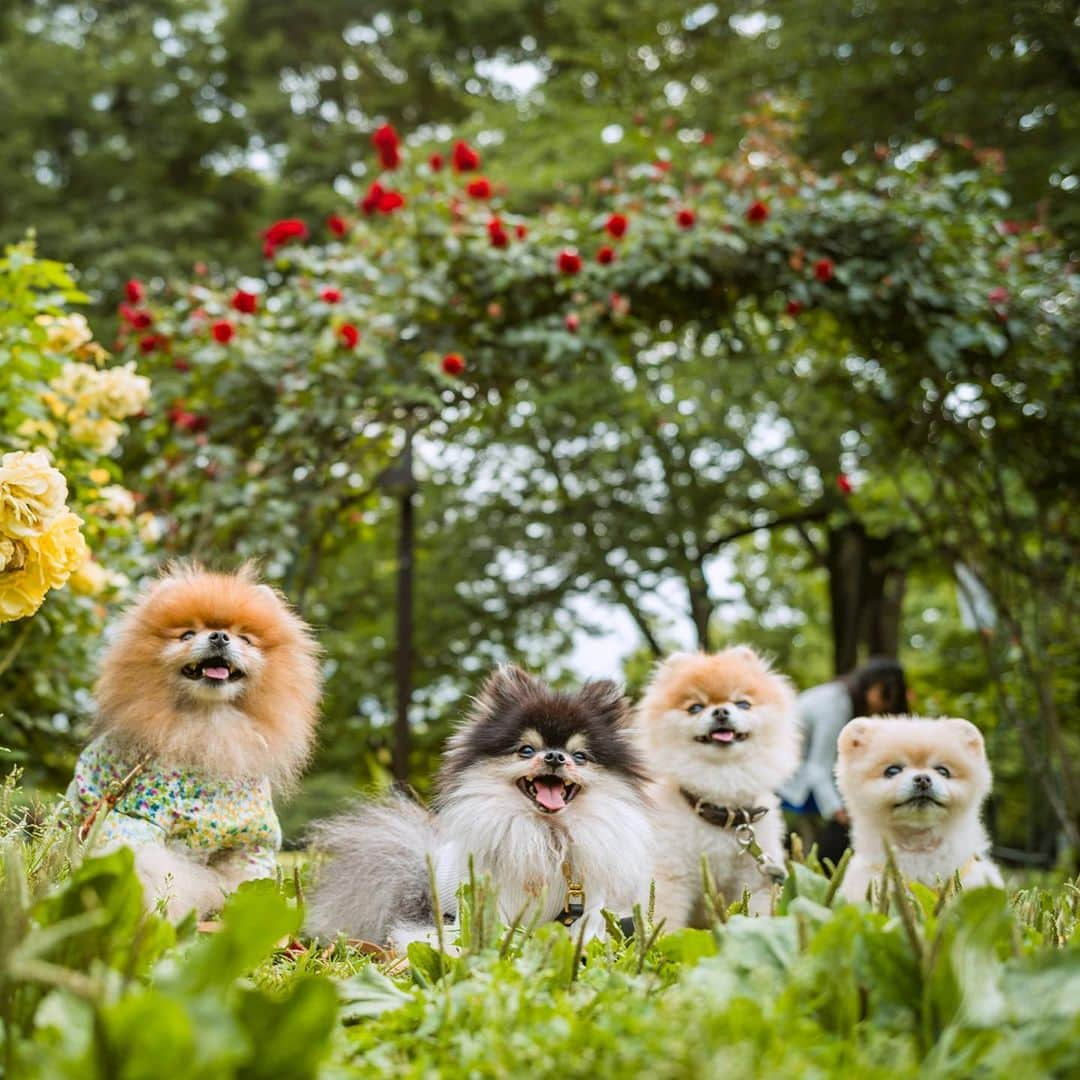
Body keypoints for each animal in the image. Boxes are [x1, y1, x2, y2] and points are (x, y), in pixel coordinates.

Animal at [65, 565, 319, 920]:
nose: (219, 636)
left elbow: (247, 880)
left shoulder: (250, 840)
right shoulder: (136, 822)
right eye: (187, 635)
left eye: (245, 638)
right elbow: (152, 870)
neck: (208, 725)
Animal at [304, 660, 648, 950]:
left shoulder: (585, 912)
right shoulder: (491, 905)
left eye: (579, 756)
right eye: (526, 750)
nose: (554, 756)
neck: (548, 832)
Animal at [630, 643, 803, 924]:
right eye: (695, 707)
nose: (721, 711)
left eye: (742, 704)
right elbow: (665, 919)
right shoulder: (670, 875)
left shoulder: (755, 880)